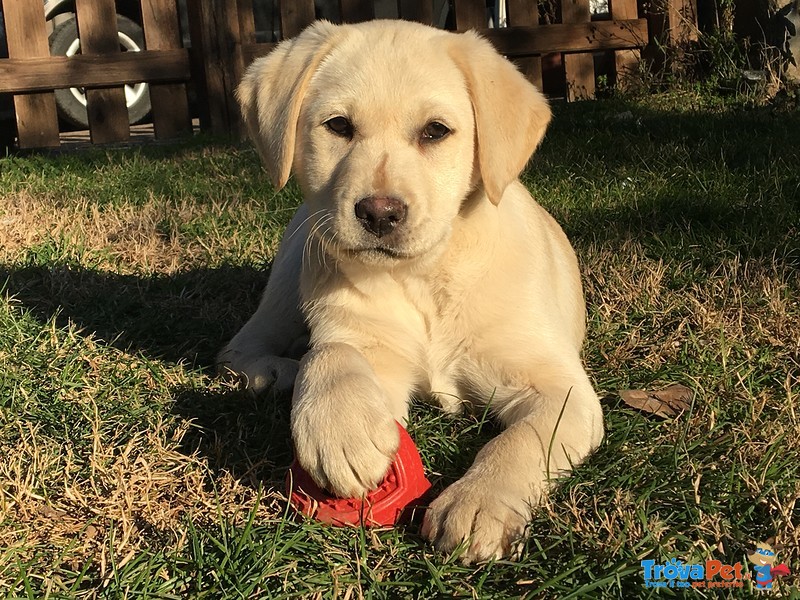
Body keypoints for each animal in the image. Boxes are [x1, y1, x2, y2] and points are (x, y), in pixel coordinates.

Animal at [216, 17, 604, 564]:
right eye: (338, 126)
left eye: (435, 131)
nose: (379, 214)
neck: (424, 277)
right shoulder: (364, 344)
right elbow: (331, 352)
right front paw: (343, 432)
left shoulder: (559, 390)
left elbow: (521, 440)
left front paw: (478, 502)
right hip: (294, 265)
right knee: (240, 347)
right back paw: (278, 372)